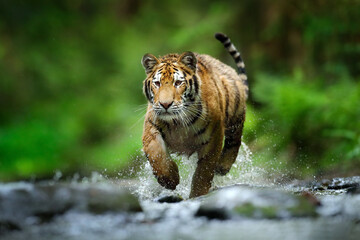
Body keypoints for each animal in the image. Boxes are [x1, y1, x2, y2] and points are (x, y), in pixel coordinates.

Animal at [141, 32, 248, 197]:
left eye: (178, 83)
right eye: (157, 83)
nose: (165, 104)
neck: (177, 122)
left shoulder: (213, 138)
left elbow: (203, 172)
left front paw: (198, 195)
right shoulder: (151, 127)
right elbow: (156, 154)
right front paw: (170, 179)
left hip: (236, 114)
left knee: (234, 141)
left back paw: (223, 166)